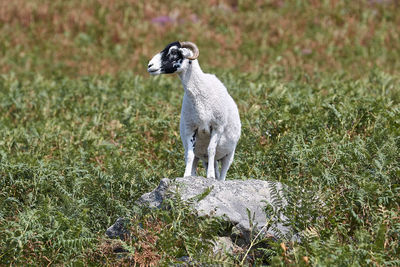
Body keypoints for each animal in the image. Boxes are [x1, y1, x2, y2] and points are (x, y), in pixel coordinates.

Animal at [147, 40, 241, 181]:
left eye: (174, 52)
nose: (149, 65)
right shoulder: (190, 128)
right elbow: (190, 155)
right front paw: (186, 176)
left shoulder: (217, 127)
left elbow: (211, 150)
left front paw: (210, 177)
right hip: (202, 156)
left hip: (229, 154)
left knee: (222, 172)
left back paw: (217, 178)